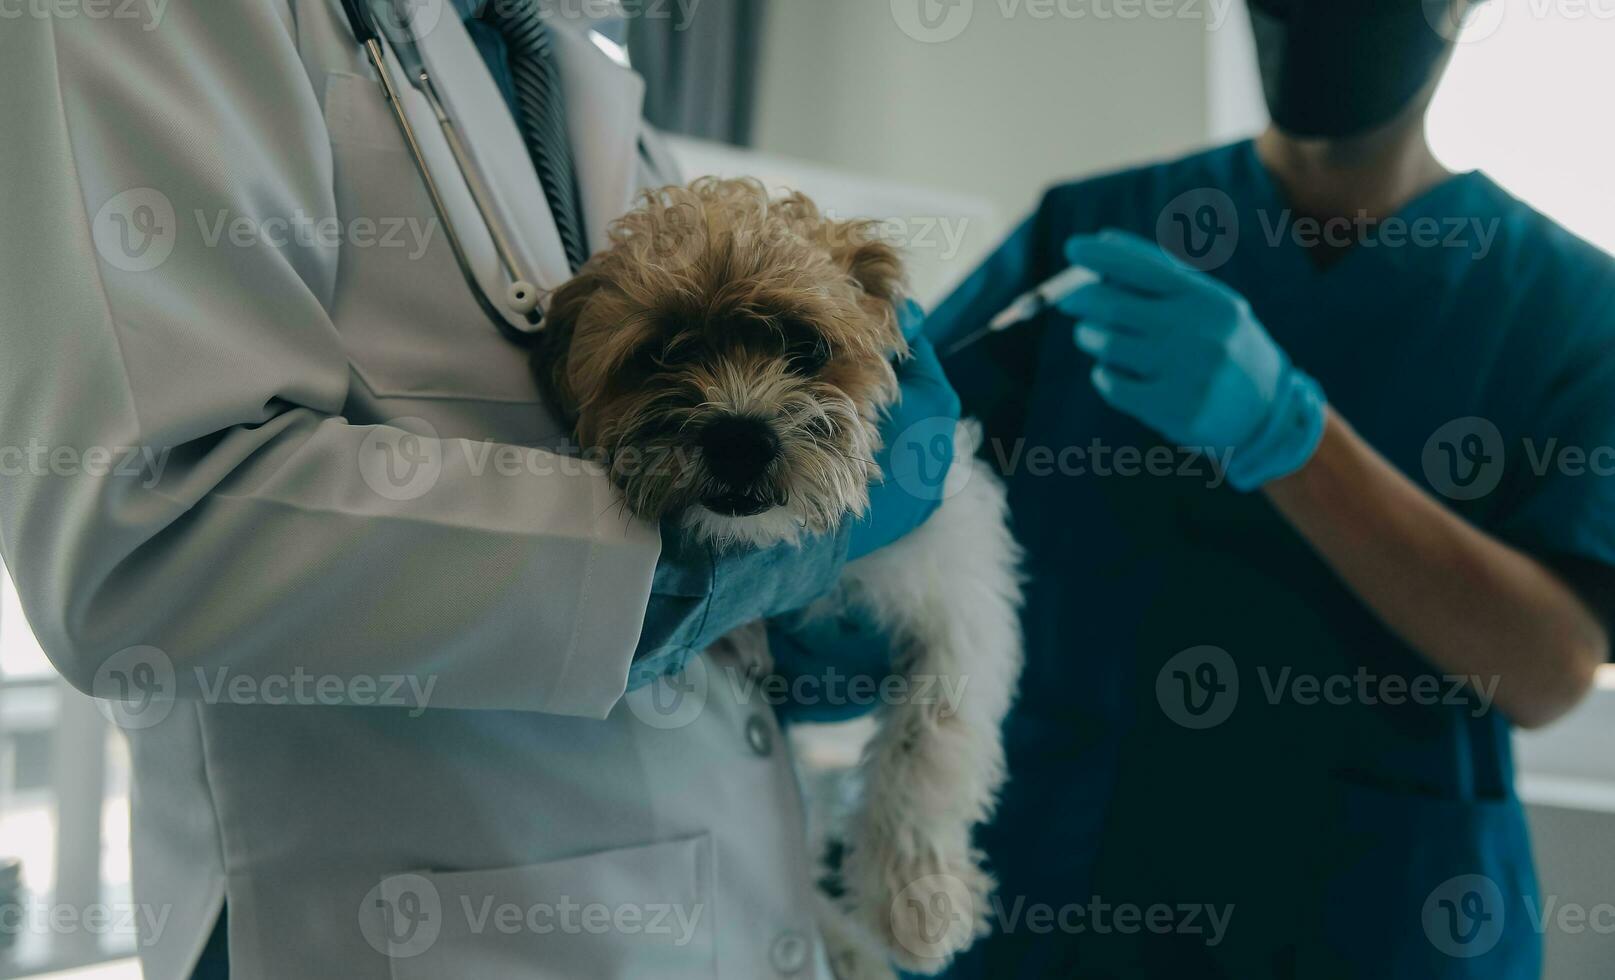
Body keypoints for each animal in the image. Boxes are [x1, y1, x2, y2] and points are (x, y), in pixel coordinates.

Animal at [536, 180, 1027, 975]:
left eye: (807, 347)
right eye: (660, 352)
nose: (739, 437)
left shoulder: (959, 590)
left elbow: (930, 743)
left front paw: (917, 898)